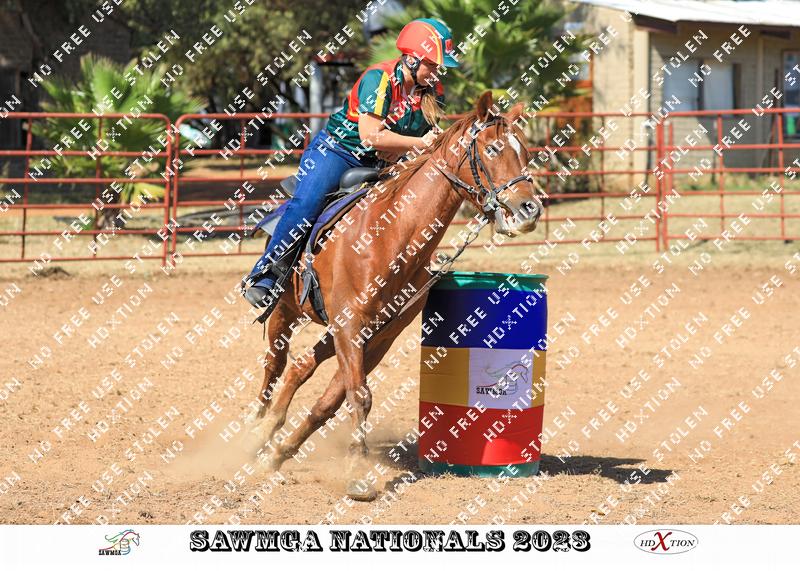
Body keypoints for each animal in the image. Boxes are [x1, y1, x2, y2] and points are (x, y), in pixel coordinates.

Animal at [244, 90, 545, 500]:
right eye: (494, 148)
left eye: (525, 151)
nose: (530, 209)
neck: (389, 236)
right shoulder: (351, 326)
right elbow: (358, 395)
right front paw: (358, 475)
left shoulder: (380, 333)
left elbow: (334, 400)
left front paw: (282, 453)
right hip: (287, 309)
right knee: (274, 363)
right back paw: (255, 430)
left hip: (334, 330)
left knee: (300, 365)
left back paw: (271, 435)